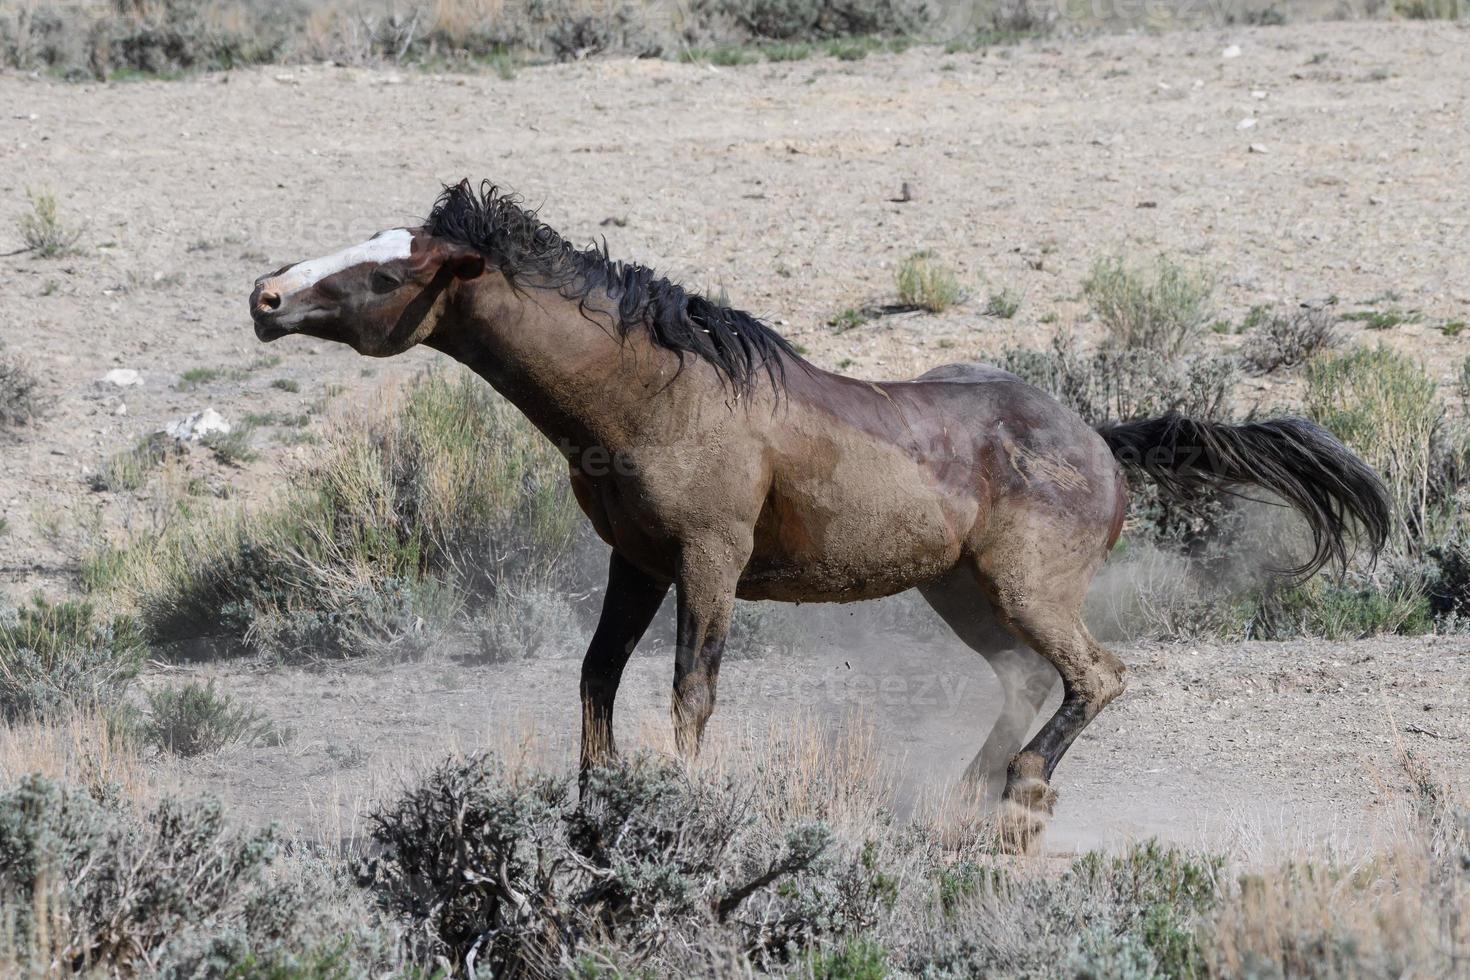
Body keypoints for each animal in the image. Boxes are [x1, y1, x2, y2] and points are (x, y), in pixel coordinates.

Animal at [244, 182, 1387, 852]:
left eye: (388, 271)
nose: (264, 295)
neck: (653, 393)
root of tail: (1104, 441)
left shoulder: (707, 562)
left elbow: (690, 692)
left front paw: (680, 811)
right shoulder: (636, 560)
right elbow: (597, 678)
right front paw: (595, 810)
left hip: (1027, 590)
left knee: (1095, 676)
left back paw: (1020, 795)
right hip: (958, 591)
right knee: (1028, 680)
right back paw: (961, 800)